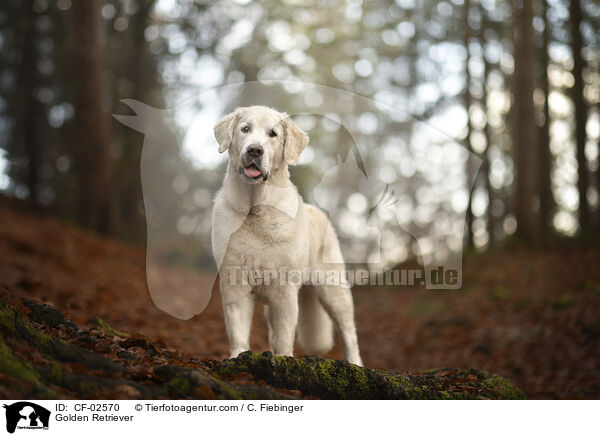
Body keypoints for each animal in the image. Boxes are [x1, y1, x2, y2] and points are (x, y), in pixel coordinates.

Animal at [210, 105, 360, 364]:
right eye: (245, 129)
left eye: (273, 134)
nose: (255, 150)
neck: (255, 210)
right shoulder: (234, 283)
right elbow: (238, 329)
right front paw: (237, 356)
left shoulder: (284, 290)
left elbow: (284, 335)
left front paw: (283, 358)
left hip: (334, 289)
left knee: (348, 331)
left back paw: (356, 363)